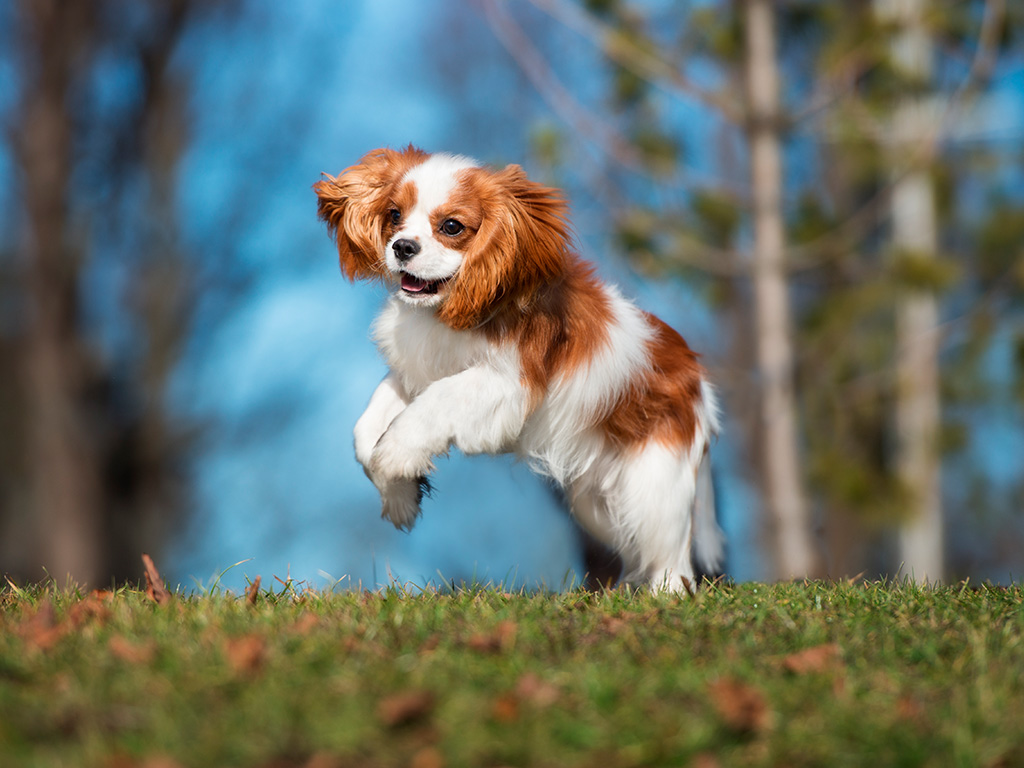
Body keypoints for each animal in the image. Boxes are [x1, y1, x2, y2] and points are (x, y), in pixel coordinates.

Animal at [315, 144, 724, 593]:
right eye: (393, 215)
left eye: (452, 227)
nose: (402, 246)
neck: (448, 311)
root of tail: (699, 382)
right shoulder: (416, 371)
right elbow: (366, 429)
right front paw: (400, 495)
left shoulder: (505, 383)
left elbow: (430, 407)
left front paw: (395, 456)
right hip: (595, 503)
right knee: (635, 548)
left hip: (653, 483)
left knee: (671, 556)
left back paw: (664, 595)